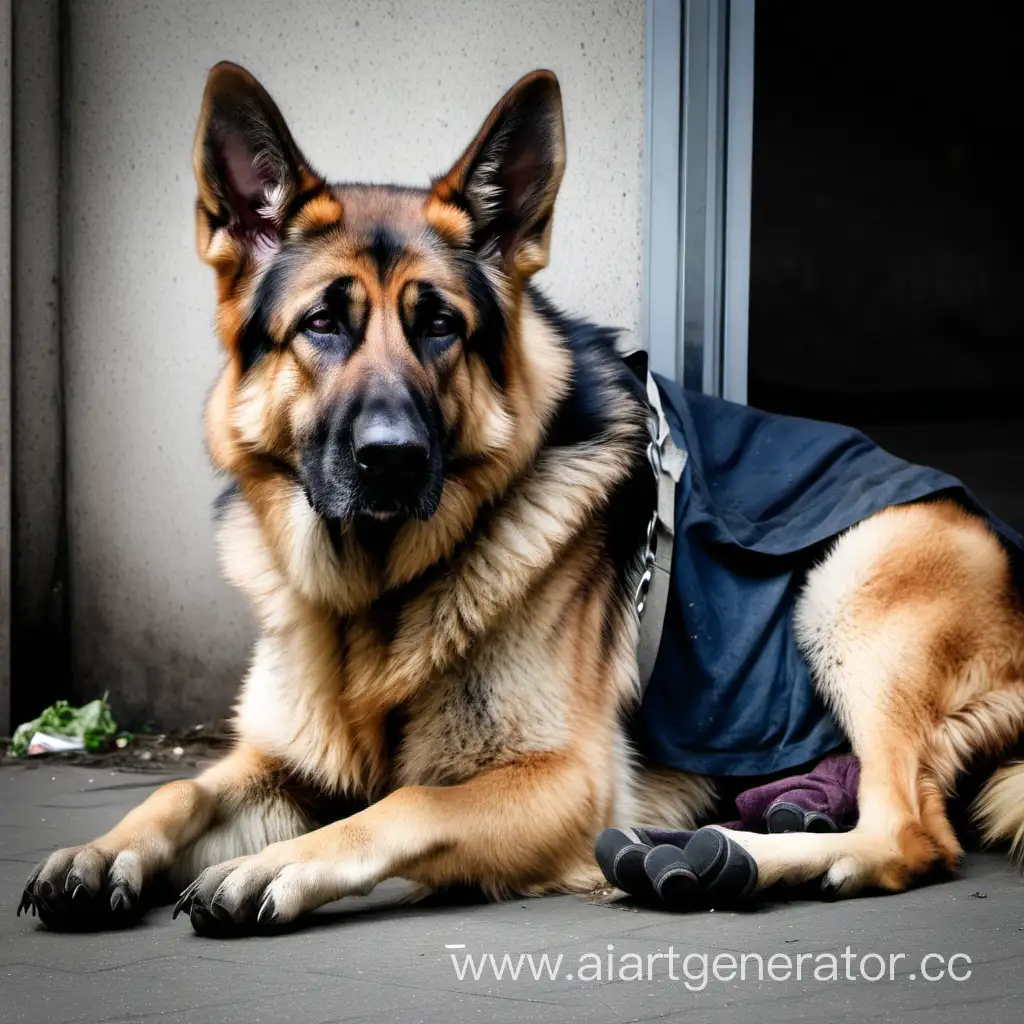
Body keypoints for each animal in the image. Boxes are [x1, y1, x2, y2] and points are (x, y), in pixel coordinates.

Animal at [14, 61, 1024, 929]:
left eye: (440, 327)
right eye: (323, 324)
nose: (392, 460)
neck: (374, 595)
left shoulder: (558, 781)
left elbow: (404, 803)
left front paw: (276, 865)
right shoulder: (283, 760)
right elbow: (180, 787)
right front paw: (102, 852)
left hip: (853, 584)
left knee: (909, 835)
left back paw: (727, 858)